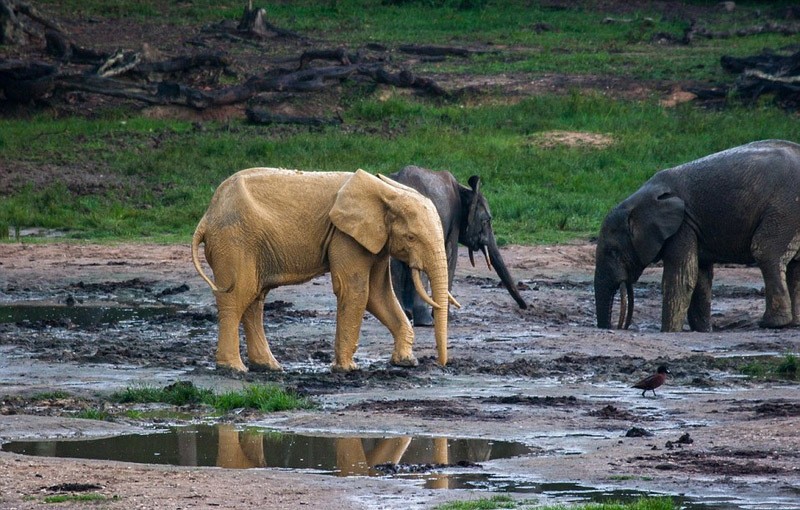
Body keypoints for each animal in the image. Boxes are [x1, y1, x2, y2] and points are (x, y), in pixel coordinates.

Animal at [189, 169, 456, 372]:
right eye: (411, 237)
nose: (441, 365)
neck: (385, 192)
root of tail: (207, 217)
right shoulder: (345, 236)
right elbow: (355, 290)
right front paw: (347, 369)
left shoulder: (375, 240)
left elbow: (378, 294)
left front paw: (407, 362)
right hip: (234, 241)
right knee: (236, 296)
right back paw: (234, 368)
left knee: (254, 298)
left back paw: (269, 367)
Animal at [386, 167, 524, 326]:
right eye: (487, 221)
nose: (525, 308)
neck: (464, 189)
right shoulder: (454, 222)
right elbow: (450, 256)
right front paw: (447, 318)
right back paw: (425, 321)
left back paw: (403, 316)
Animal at [592, 137, 800, 332]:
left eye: (613, 252)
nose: (617, 327)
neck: (638, 201)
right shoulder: (694, 226)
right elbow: (700, 277)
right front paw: (702, 330)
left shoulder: (683, 225)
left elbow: (682, 278)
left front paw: (668, 332)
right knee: (795, 265)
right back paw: (794, 323)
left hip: (785, 206)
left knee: (764, 250)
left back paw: (772, 324)